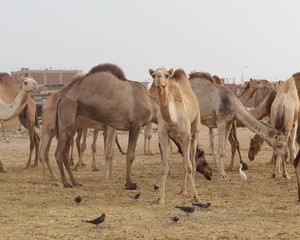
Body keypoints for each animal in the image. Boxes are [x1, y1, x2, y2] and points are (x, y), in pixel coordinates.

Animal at [149, 68, 202, 204]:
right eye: (153, 75)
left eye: (167, 75)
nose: (159, 77)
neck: (172, 119)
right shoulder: (163, 134)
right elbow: (165, 166)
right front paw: (160, 198)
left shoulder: (186, 134)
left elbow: (189, 165)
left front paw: (196, 196)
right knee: (185, 160)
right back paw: (182, 190)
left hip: (195, 129)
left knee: (193, 162)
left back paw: (192, 193)